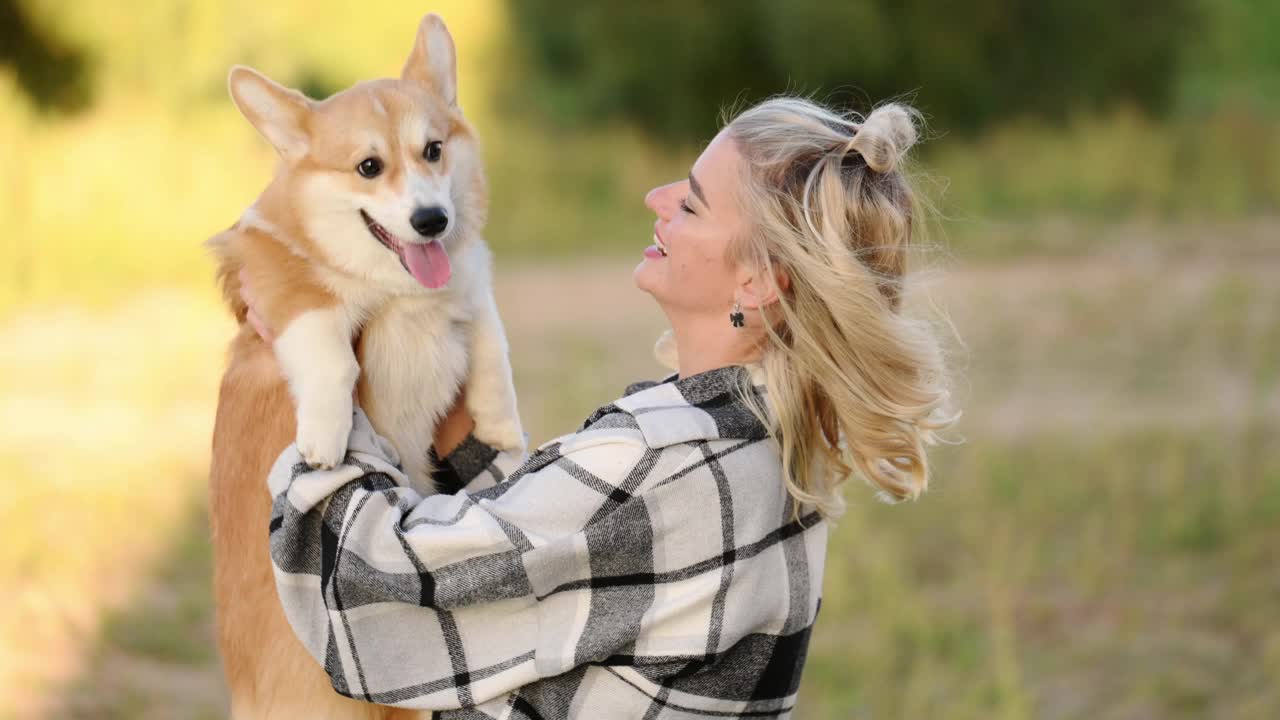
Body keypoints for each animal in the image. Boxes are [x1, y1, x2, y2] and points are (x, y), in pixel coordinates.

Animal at [207, 16, 522, 717]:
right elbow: (329, 349)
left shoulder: (471, 279)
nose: (432, 220)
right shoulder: (278, 277)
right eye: (369, 167)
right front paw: (324, 439)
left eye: (433, 150)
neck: (399, 292)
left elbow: (488, 332)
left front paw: (500, 422)